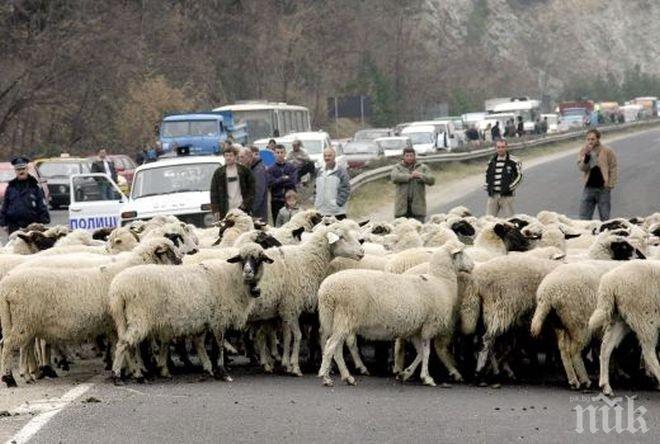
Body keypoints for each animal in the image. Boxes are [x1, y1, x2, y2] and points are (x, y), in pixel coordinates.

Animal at [0, 238, 183, 386]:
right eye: (170, 252)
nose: (182, 263)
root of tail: (6, 287)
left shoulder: (113, 326)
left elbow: (122, 347)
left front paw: (123, 370)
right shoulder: (121, 321)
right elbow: (130, 348)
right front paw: (135, 372)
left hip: (23, 322)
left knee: (22, 345)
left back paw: (28, 375)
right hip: (24, 321)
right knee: (8, 345)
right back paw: (10, 378)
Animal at [109, 243, 272, 382]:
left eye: (258, 259)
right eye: (242, 259)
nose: (248, 272)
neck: (233, 278)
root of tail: (118, 289)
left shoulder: (210, 320)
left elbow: (210, 345)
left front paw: (213, 370)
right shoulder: (219, 319)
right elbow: (218, 346)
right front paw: (223, 372)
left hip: (125, 318)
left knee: (128, 345)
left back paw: (136, 373)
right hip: (139, 317)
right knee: (124, 343)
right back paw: (118, 375)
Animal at [588, 260, 660, 396]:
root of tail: (610, 281)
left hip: (621, 317)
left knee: (606, 347)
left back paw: (606, 386)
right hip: (645, 317)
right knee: (649, 354)